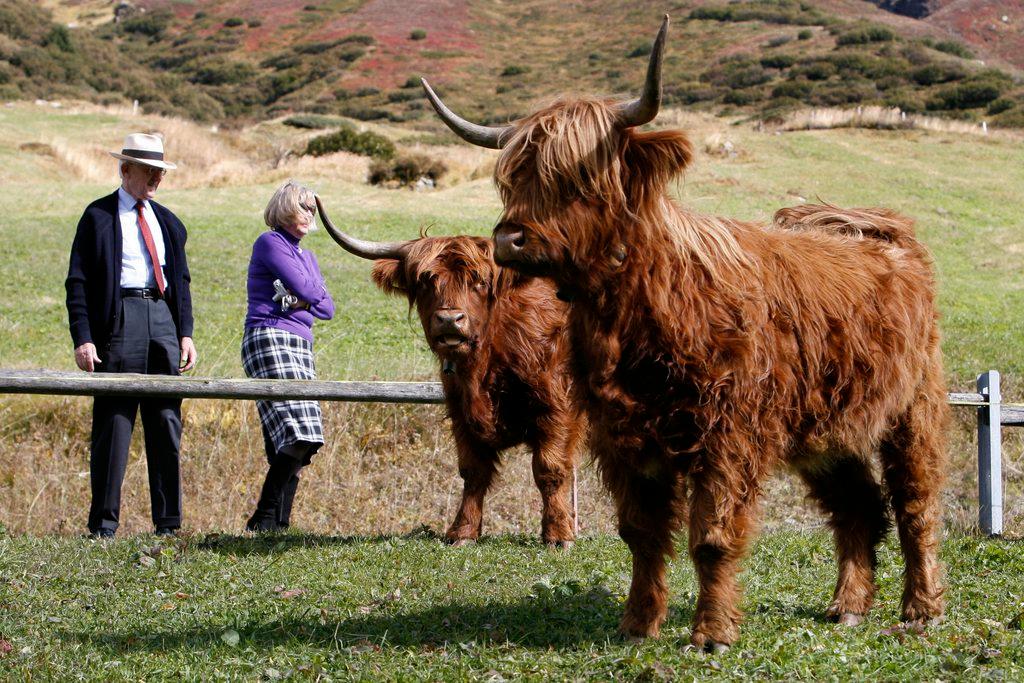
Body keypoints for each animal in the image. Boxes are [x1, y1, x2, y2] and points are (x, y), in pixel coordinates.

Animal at [311, 197, 585, 548]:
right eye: (426, 280)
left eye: (479, 281)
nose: (450, 320)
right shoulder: (460, 409)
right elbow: (473, 471)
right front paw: (462, 531)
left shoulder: (556, 405)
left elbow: (549, 469)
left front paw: (558, 534)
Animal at [419, 13, 946, 651]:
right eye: (512, 178)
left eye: (580, 177)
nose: (509, 238)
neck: (640, 317)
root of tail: (876, 228)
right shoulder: (623, 438)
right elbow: (640, 534)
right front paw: (638, 624)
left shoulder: (728, 435)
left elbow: (712, 537)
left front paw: (711, 633)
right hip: (825, 427)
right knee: (858, 507)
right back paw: (847, 605)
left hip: (913, 407)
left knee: (915, 503)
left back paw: (920, 609)